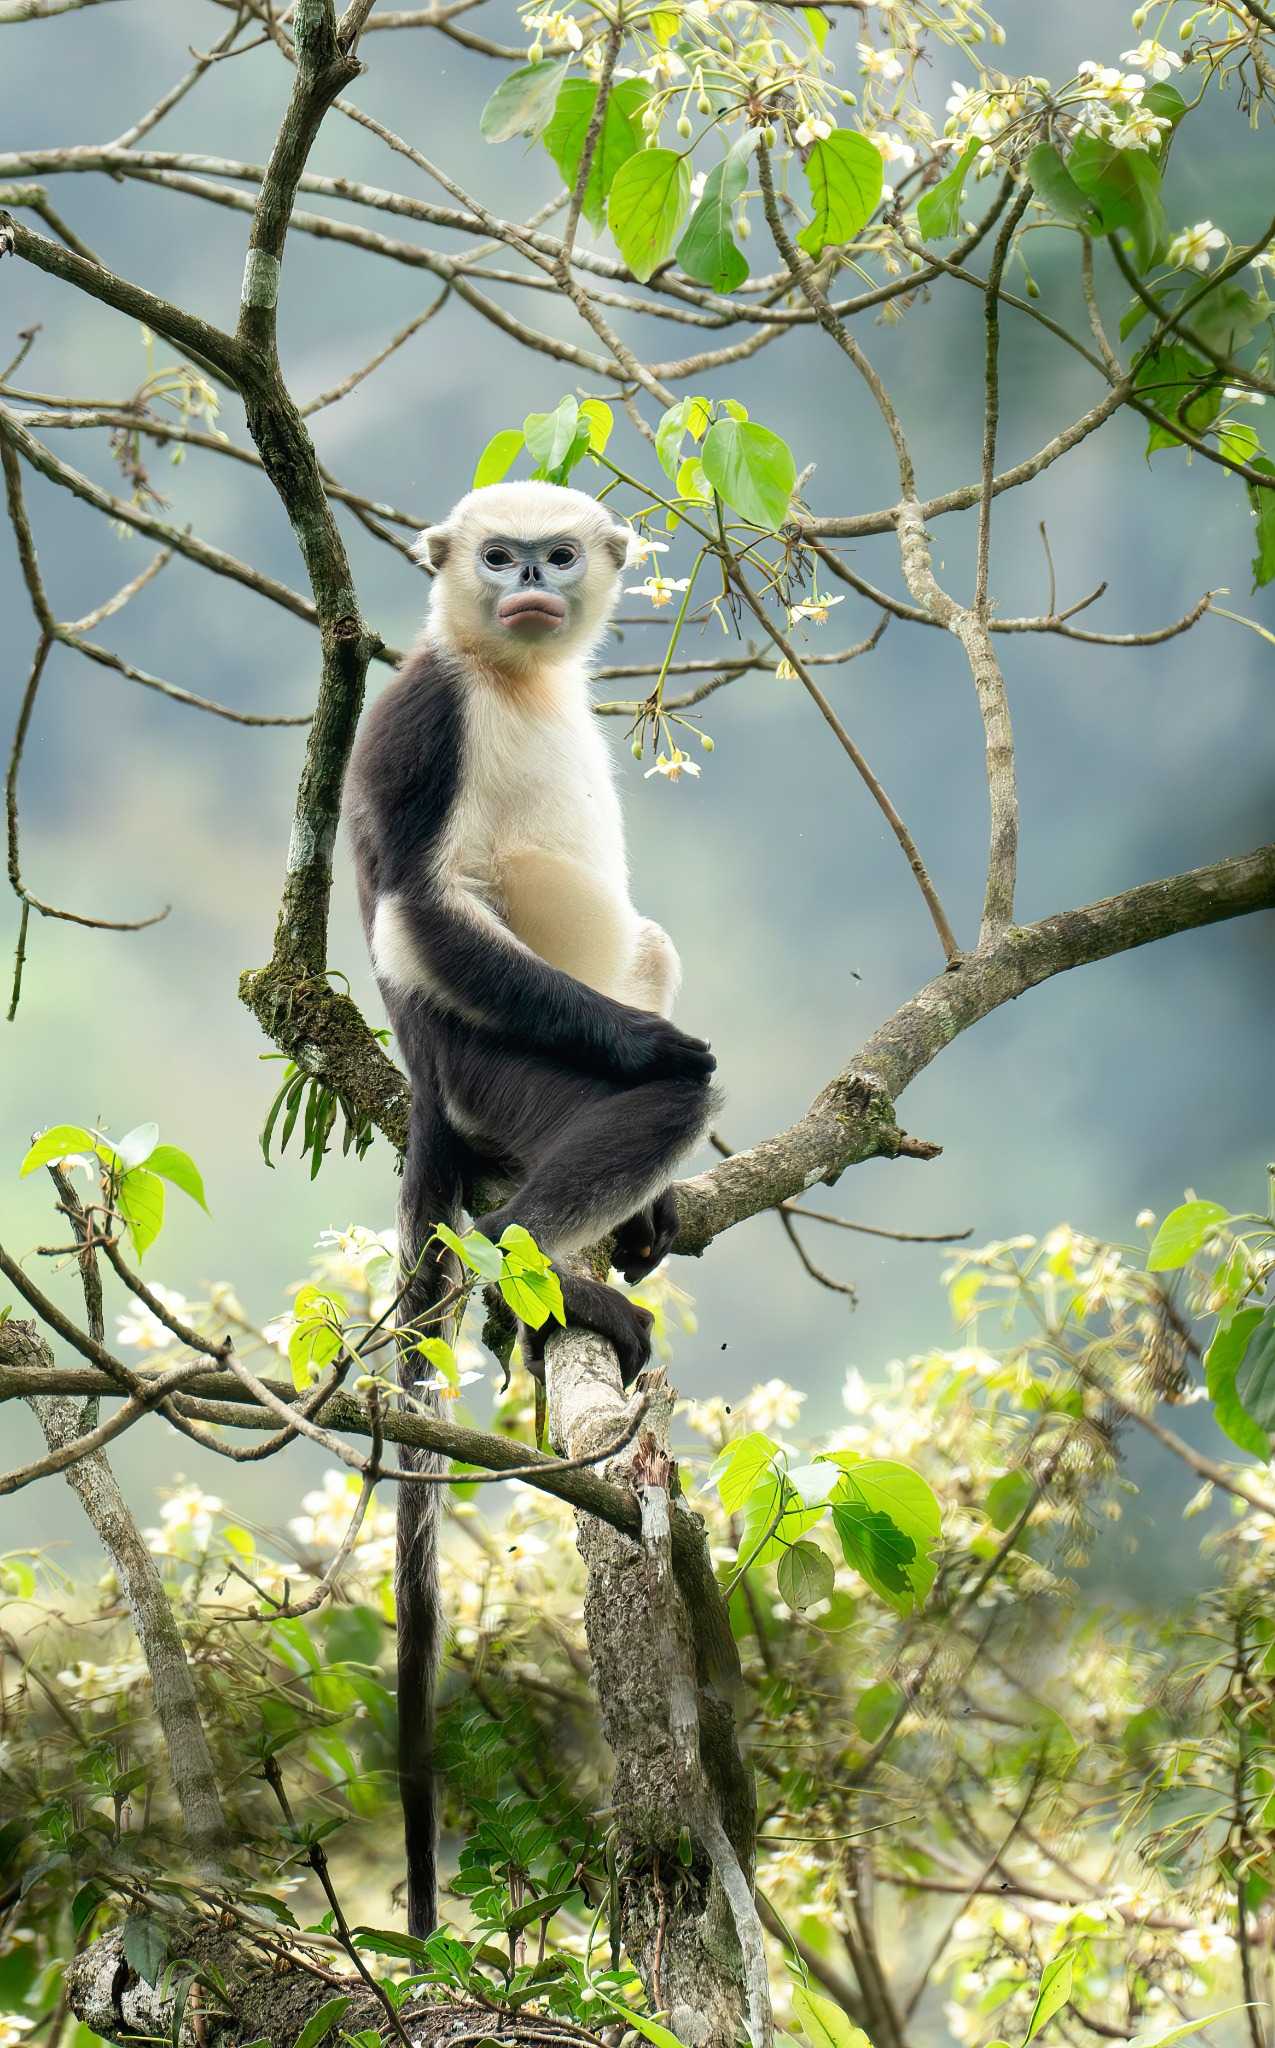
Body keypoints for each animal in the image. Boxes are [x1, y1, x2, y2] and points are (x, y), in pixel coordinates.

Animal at [344, 479, 718, 1939]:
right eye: (499, 558)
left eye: (555, 558)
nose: (529, 588)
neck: (509, 673)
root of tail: (432, 1093)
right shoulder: (423, 711)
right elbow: (417, 906)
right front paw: (662, 1055)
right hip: (493, 1057)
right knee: (647, 1082)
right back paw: (532, 1273)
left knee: (650, 942)